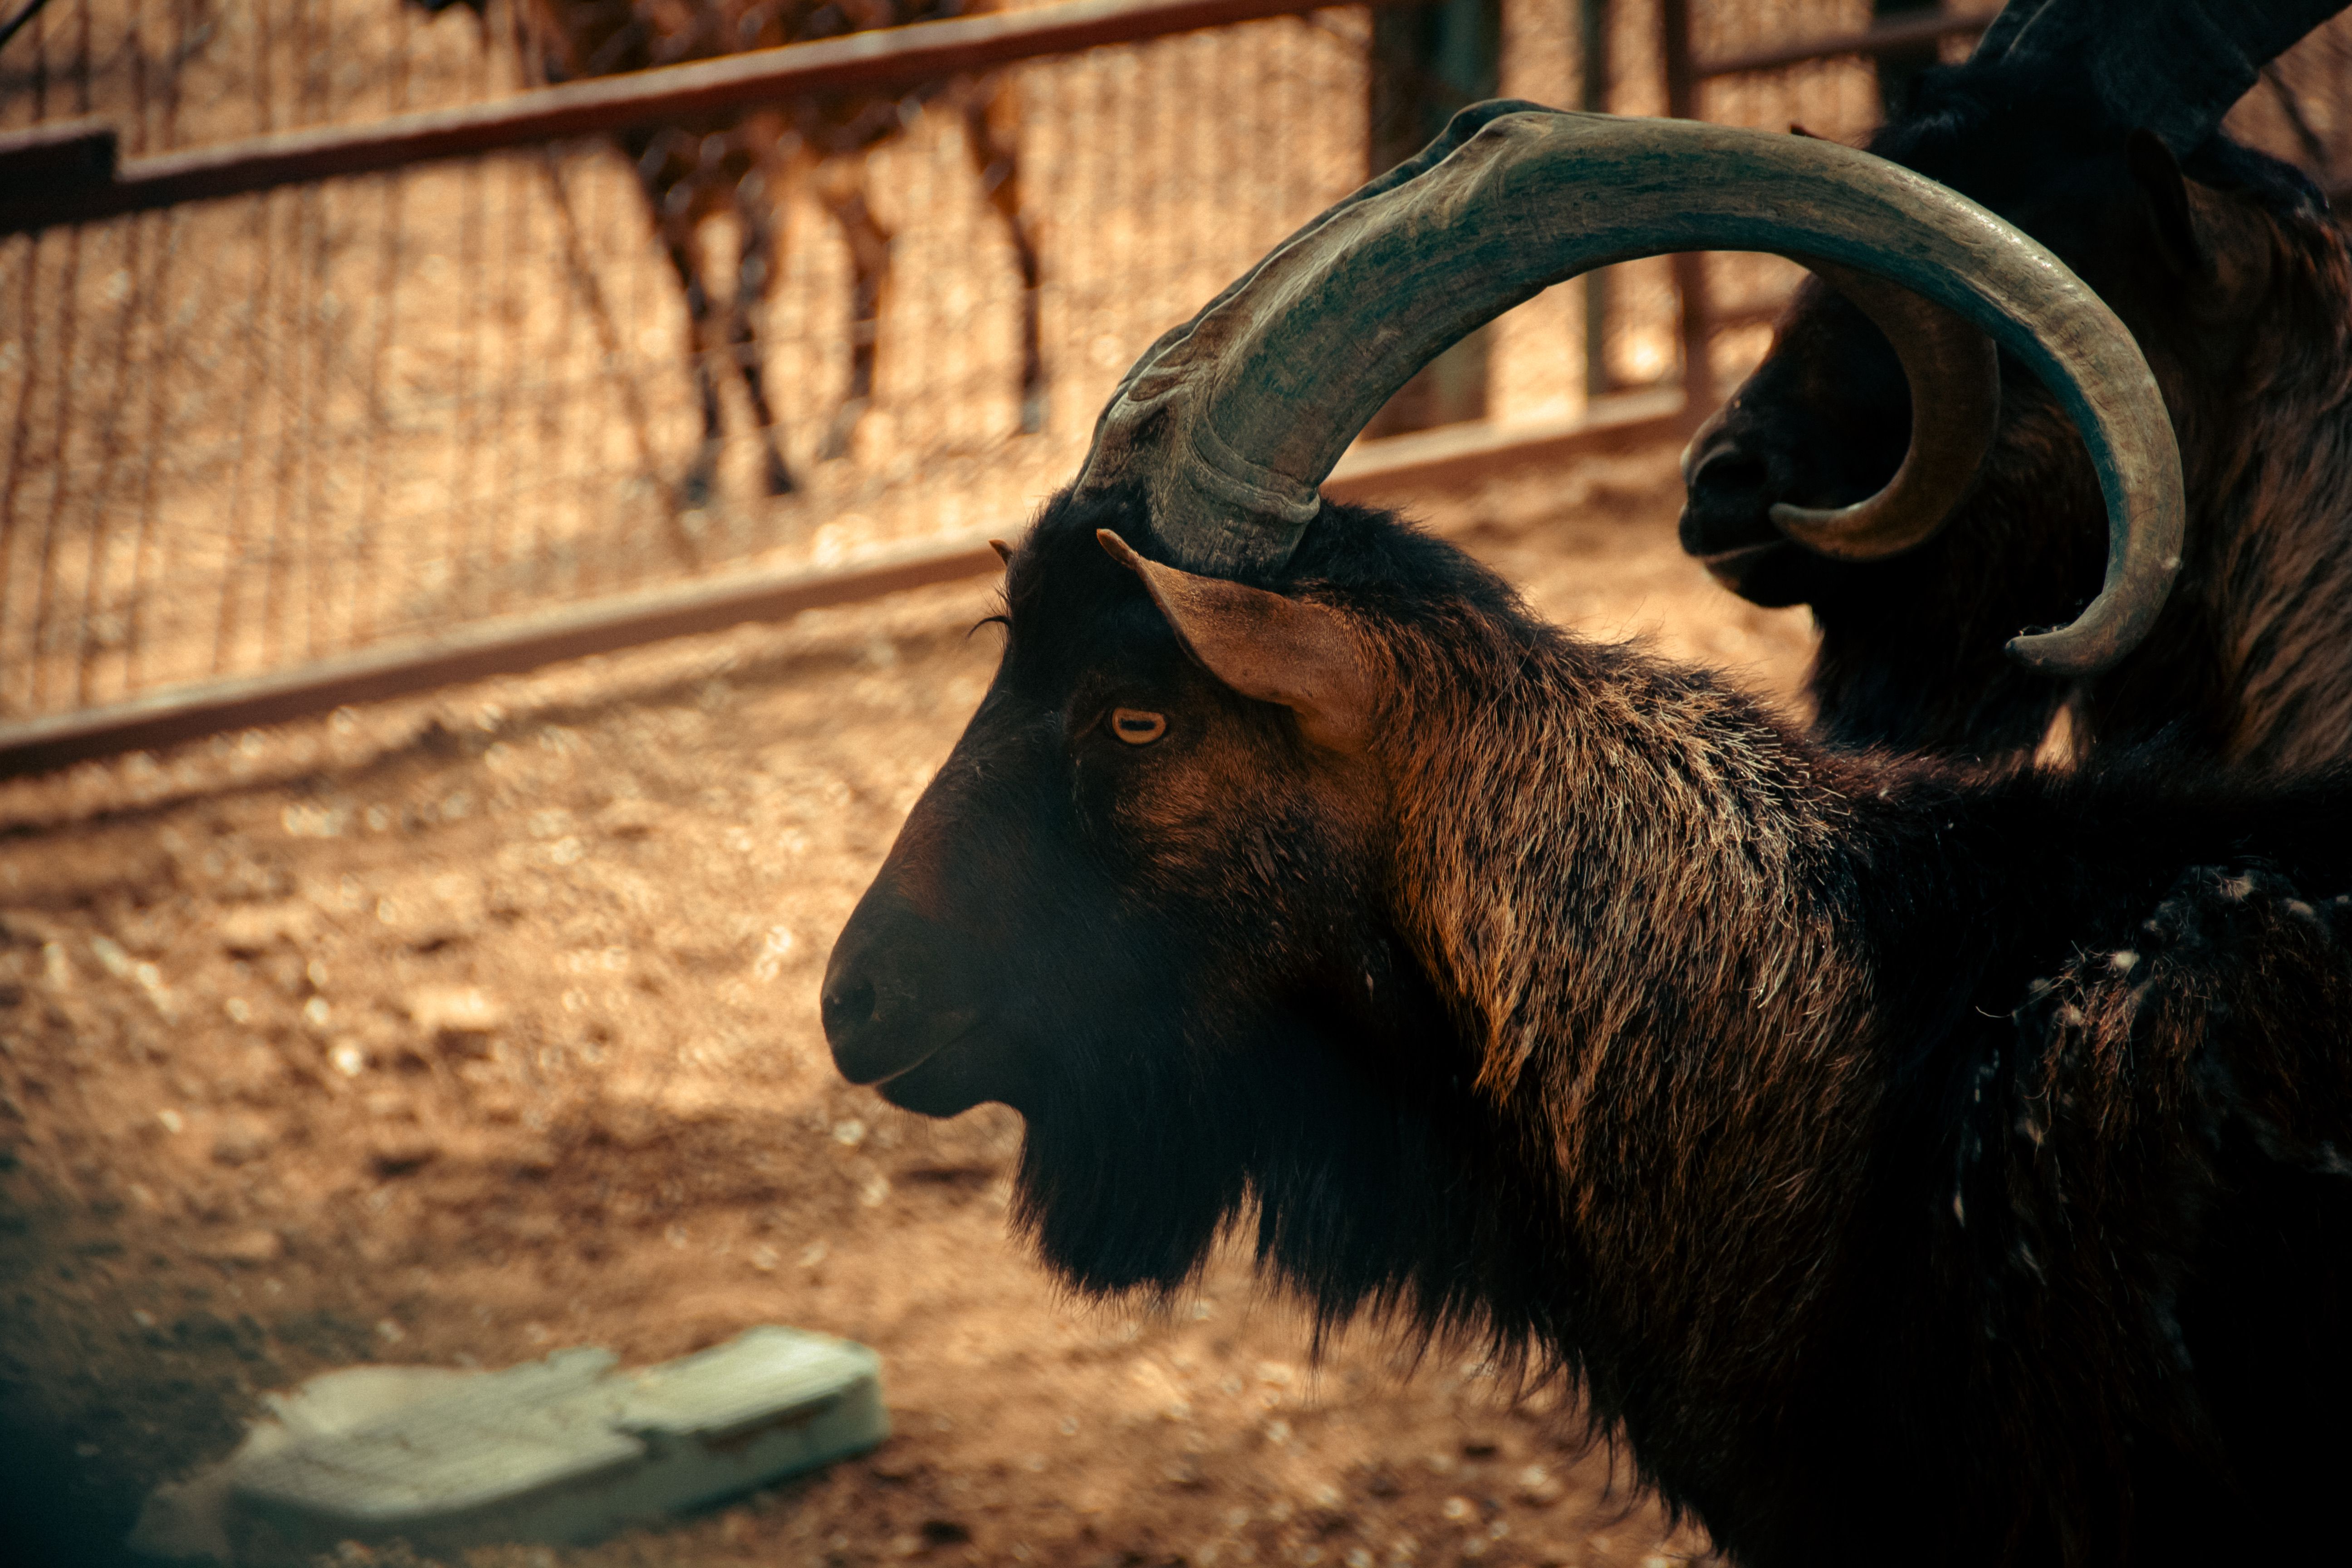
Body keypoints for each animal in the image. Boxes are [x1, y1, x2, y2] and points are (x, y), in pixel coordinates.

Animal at [414, 0, 1045, 505]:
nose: (547, 70)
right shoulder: (663, 201)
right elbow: (697, 325)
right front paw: (702, 471)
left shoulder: (764, 187)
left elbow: (739, 327)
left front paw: (778, 473)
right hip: (831, 162)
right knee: (879, 245)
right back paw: (844, 424)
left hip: (983, 87)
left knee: (1025, 231)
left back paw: (1032, 398)